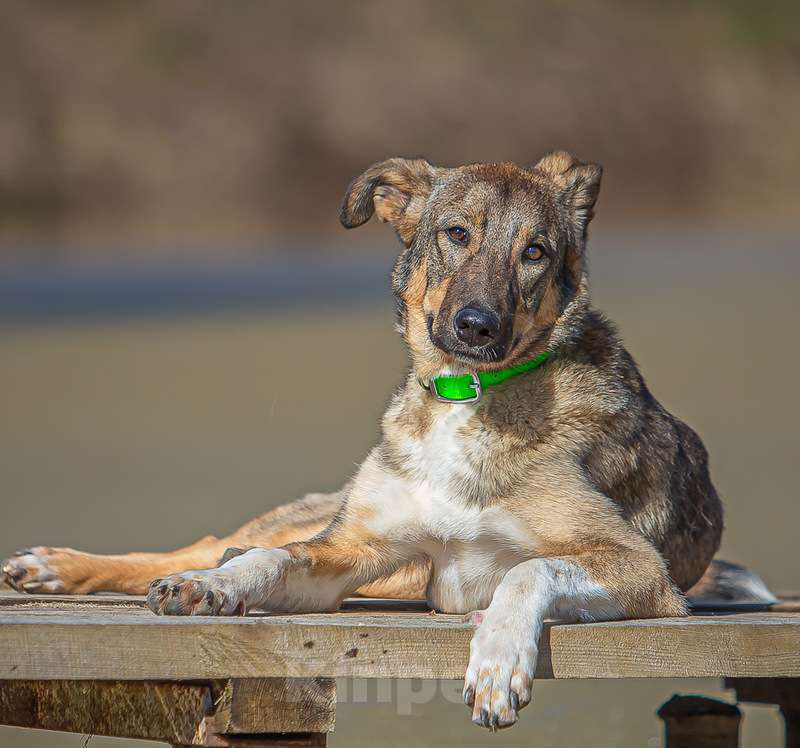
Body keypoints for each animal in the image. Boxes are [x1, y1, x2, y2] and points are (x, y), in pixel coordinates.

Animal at [1, 152, 776, 732]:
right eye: (457, 234)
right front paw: (210, 587)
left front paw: (497, 662)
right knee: (214, 542)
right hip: (325, 519)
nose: (477, 326)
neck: (466, 399)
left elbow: (529, 571)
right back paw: (57, 568)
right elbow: (268, 561)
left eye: (533, 252)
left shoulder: (638, 568)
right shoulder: (353, 547)